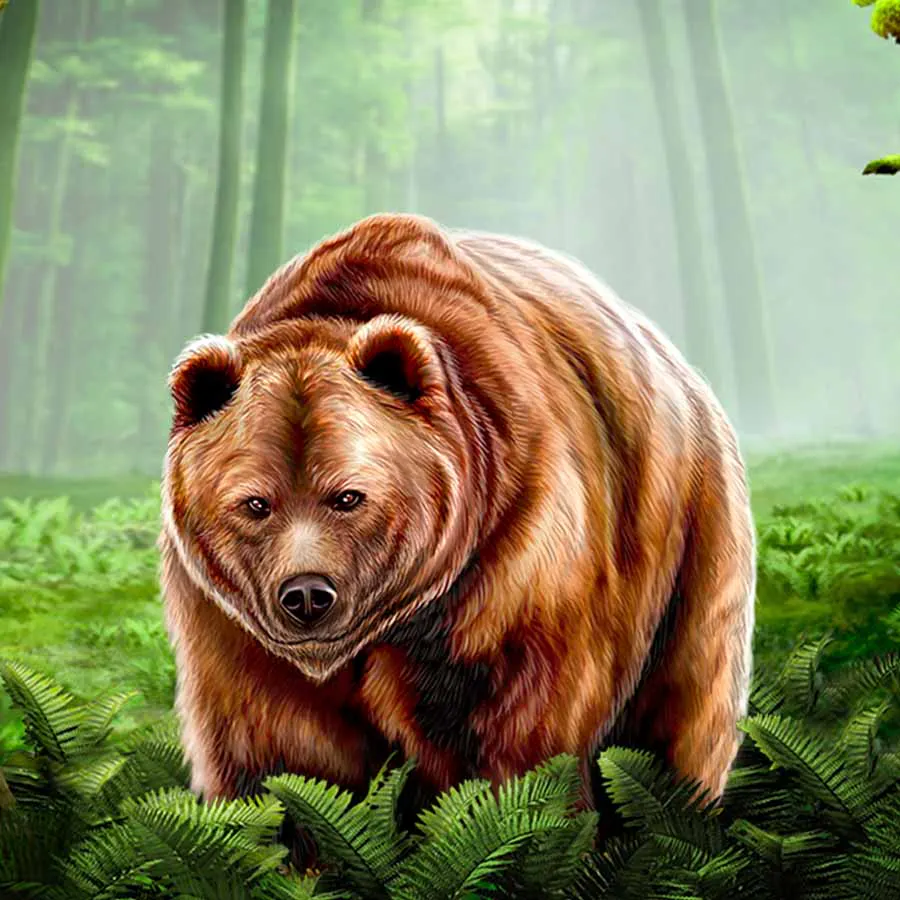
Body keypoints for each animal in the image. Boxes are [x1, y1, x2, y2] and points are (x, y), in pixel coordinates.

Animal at [159, 212, 755, 842]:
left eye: (348, 496)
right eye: (255, 503)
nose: (306, 595)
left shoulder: (516, 558)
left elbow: (521, 732)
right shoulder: (229, 621)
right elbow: (283, 751)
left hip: (690, 536)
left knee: (681, 708)